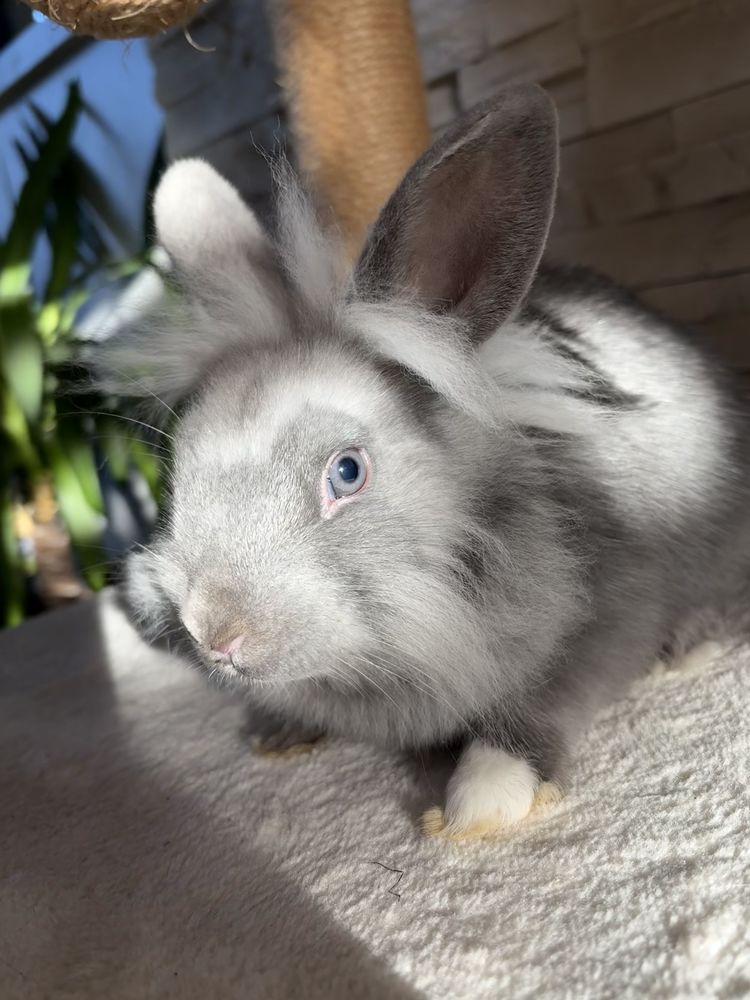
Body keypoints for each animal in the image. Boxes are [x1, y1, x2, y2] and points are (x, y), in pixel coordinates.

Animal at [106, 83, 750, 841]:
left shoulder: (612, 609)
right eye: (178, 471)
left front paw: (482, 799)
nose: (217, 632)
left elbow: (548, 698)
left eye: (347, 472)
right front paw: (279, 733)